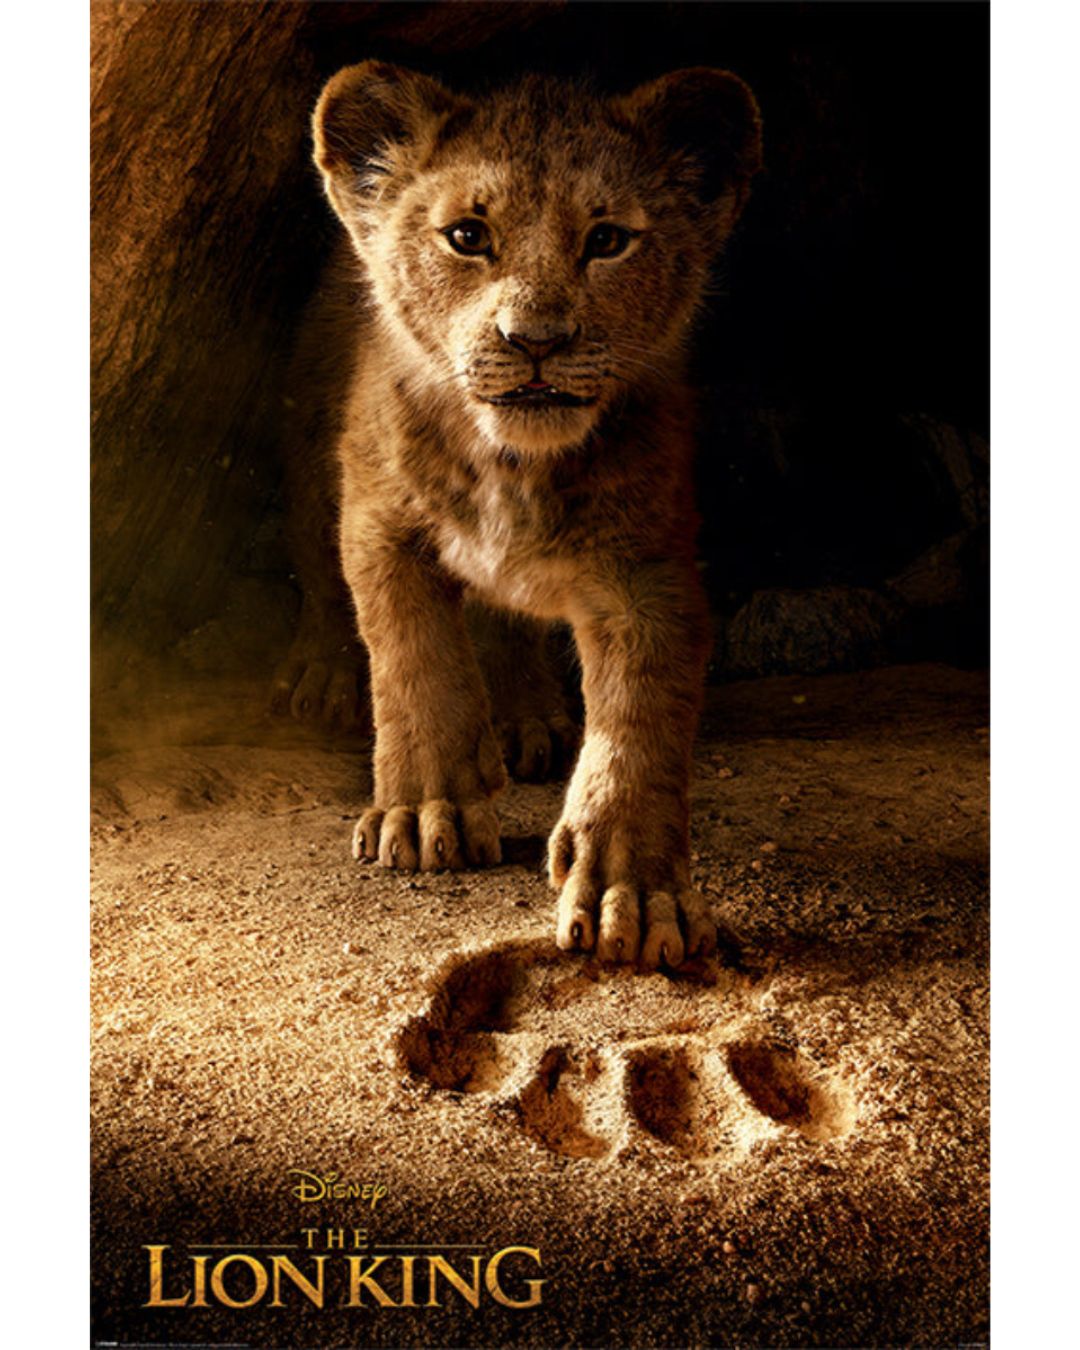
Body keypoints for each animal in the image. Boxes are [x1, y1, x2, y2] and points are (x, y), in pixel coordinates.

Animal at [278, 61, 761, 969]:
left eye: (607, 241)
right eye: (468, 236)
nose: (535, 340)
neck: (514, 464)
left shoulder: (647, 570)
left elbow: (639, 723)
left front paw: (633, 893)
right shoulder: (380, 523)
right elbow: (414, 663)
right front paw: (424, 813)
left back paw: (525, 717)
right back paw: (323, 677)